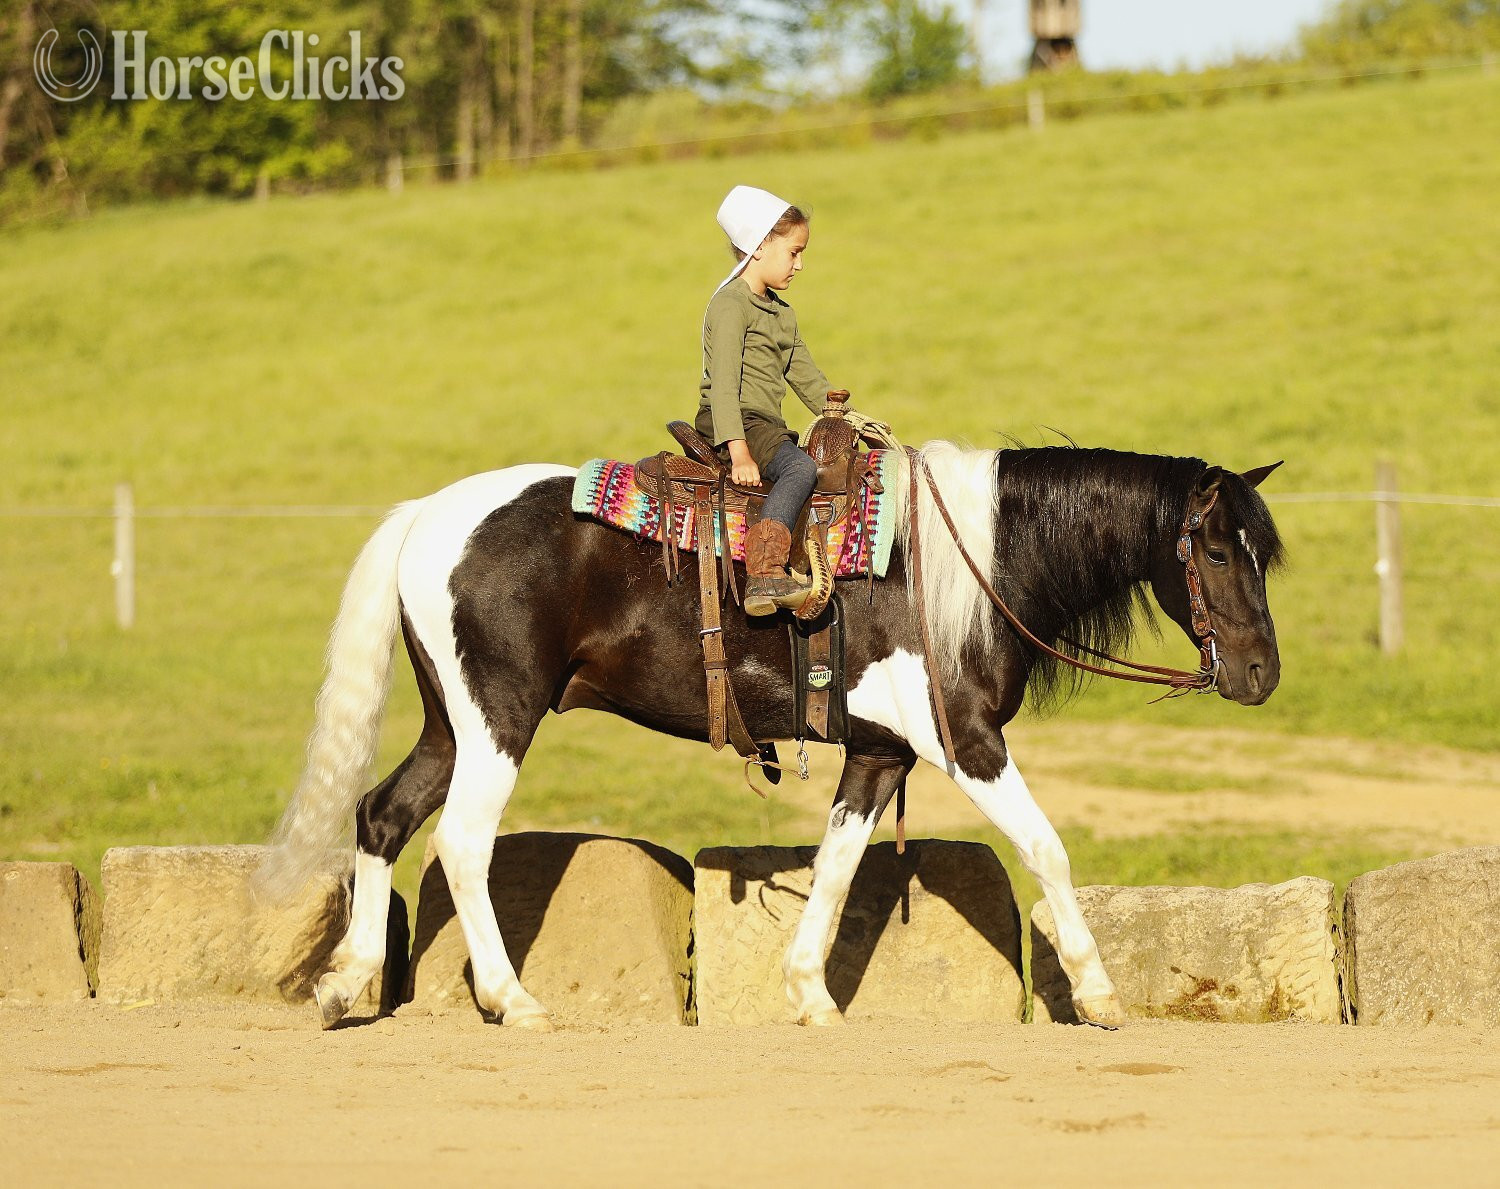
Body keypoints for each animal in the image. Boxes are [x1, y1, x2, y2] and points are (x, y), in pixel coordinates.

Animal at [256, 440, 1284, 1031]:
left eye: (1261, 552)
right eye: (1216, 547)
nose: (1261, 673)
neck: (967, 565)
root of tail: (426, 515)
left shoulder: (880, 753)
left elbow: (836, 868)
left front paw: (809, 993)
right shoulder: (966, 740)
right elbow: (1047, 846)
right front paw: (1100, 994)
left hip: (452, 724)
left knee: (381, 816)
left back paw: (346, 984)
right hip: (498, 718)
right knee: (463, 843)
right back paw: (514, 1000)